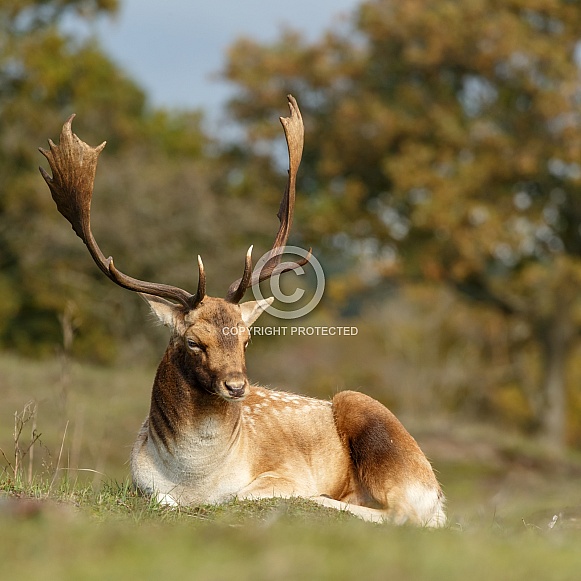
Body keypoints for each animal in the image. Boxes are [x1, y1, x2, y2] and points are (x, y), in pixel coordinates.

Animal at [40, 96, 446, 524]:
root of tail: (438, 496)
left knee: (402, 513)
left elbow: (242, 496)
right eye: (193, 341)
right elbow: (163, 499)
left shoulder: (282, 474)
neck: (194, 481)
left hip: (374, 423)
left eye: (247, 339)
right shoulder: (144, 485)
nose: (237, 386)